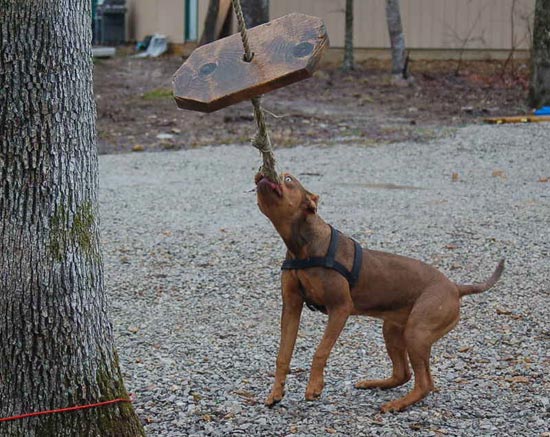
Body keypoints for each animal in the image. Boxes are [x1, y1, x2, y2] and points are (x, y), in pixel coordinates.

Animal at [256, 171, 506, 412]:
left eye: (288, 179)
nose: (261, 174)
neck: (302, 248)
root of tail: (454, 286)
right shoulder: (291, 308)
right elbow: (283, 355)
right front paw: (276, 393)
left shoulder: (340, 309)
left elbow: (320, 351)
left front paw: (314, 386)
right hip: (393, 330)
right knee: (404, 374)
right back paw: (374, 383)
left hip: (417, 332)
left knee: (425, 383)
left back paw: (398, 404)